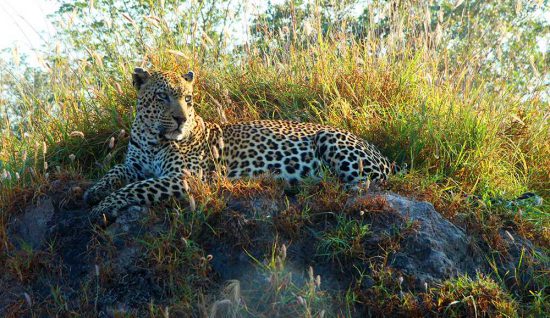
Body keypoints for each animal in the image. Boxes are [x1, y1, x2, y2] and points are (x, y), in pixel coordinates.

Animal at [84, 68, 398, 224]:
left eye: (188, 98)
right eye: (162, 96)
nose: (181, 119)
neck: (152, 137)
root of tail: (383, 155)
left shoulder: (186, 177)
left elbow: (136, 187)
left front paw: (103, 207)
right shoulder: (133, 164)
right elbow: (115, 174)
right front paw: (94, 192)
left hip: (331, 140)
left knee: (363, 184)